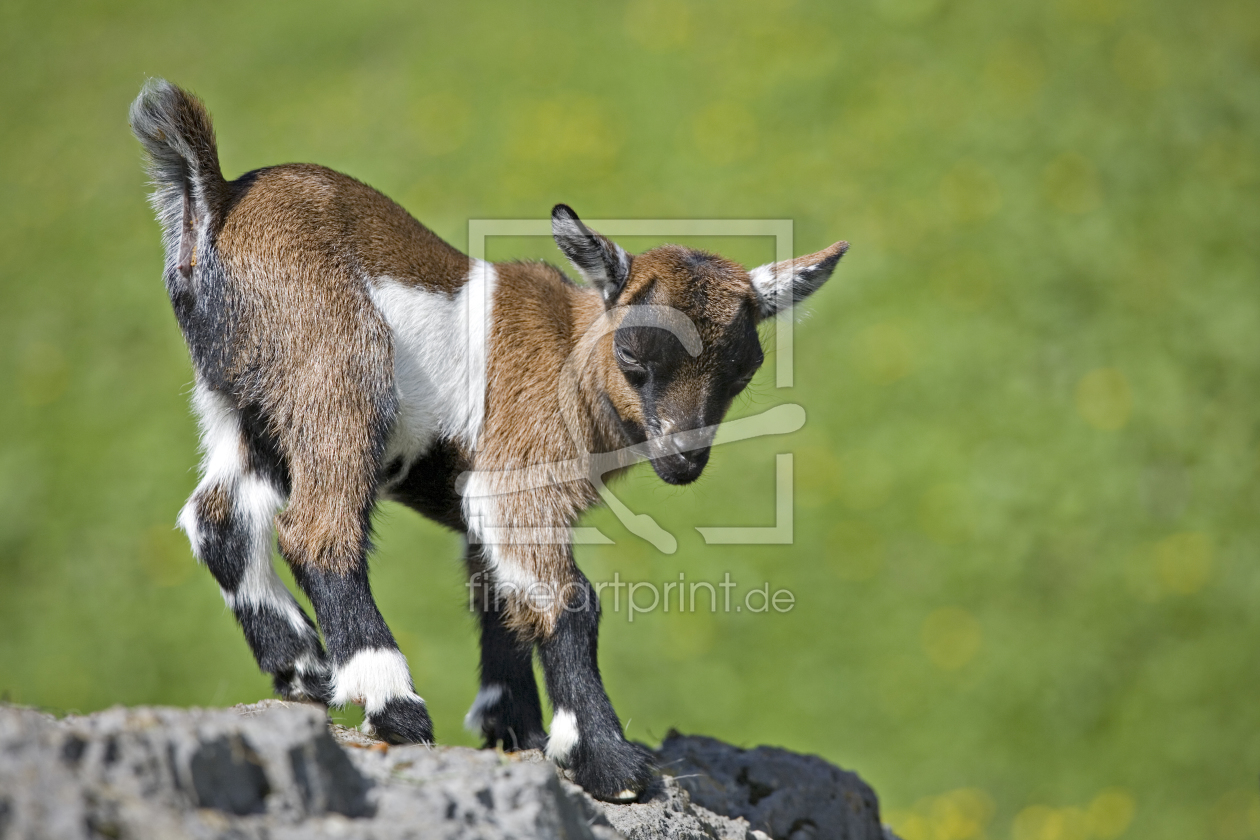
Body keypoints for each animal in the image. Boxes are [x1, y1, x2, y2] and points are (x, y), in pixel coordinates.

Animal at [130, 78, 846, 800]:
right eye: (633, 356)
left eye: (744, 368)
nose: (684, 457)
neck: (567, 350)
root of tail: (217, 199)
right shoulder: (519, 480)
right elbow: (571, 601)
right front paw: (608, 762)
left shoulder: (485, 500)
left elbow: (499, 598)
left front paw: (517, 730)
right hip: (337, 377)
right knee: (316, 530)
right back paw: (395, 704)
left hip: (244, 408)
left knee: (217, 517)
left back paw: (303, 668)